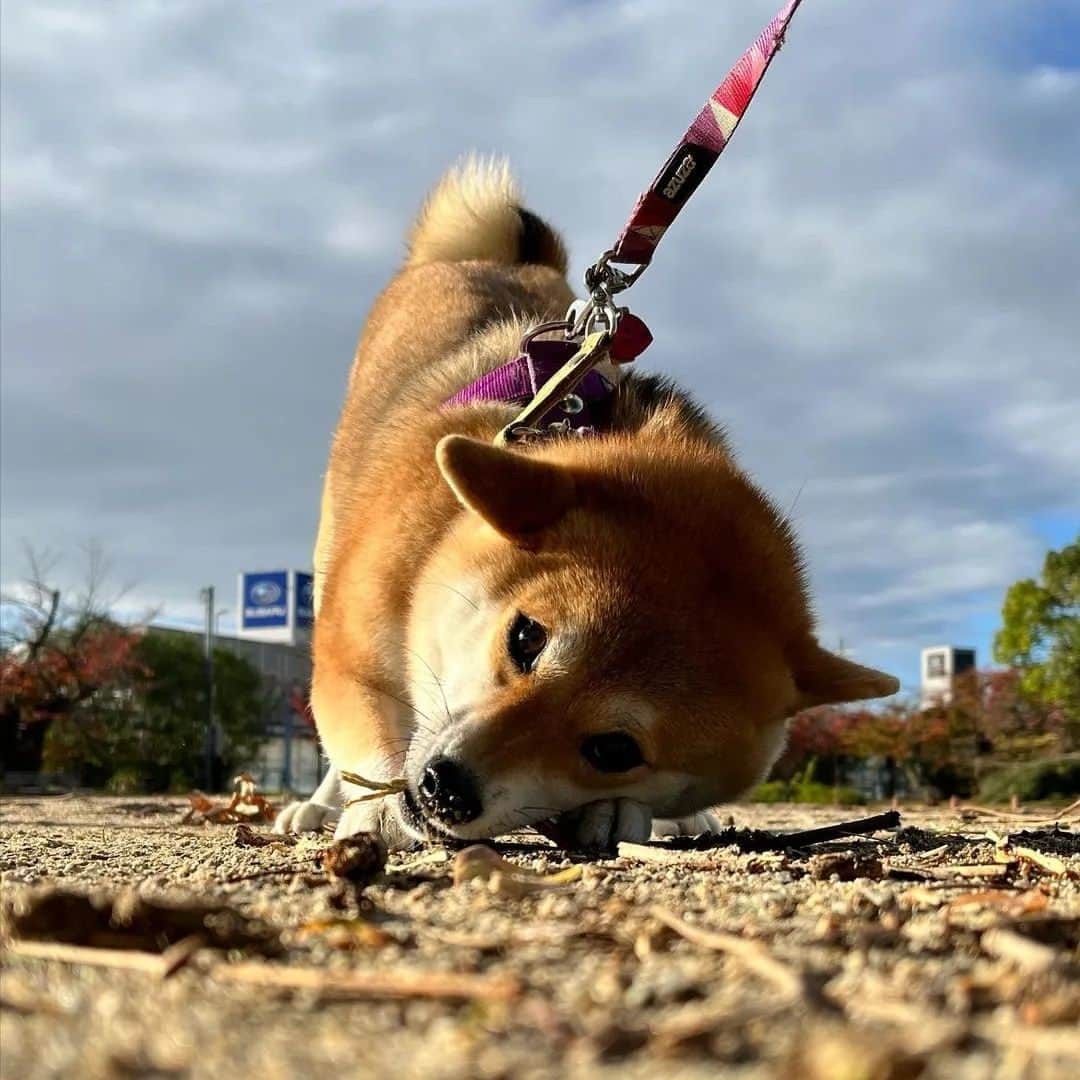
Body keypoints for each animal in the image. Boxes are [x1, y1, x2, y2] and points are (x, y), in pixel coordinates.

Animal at [274, 162, 898, 851]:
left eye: (614, 750)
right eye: (525, 638)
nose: (447, 787)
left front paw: (616, 811)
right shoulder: (349, 654)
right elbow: (361, 728)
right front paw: (379, 804)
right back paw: (315, 807)